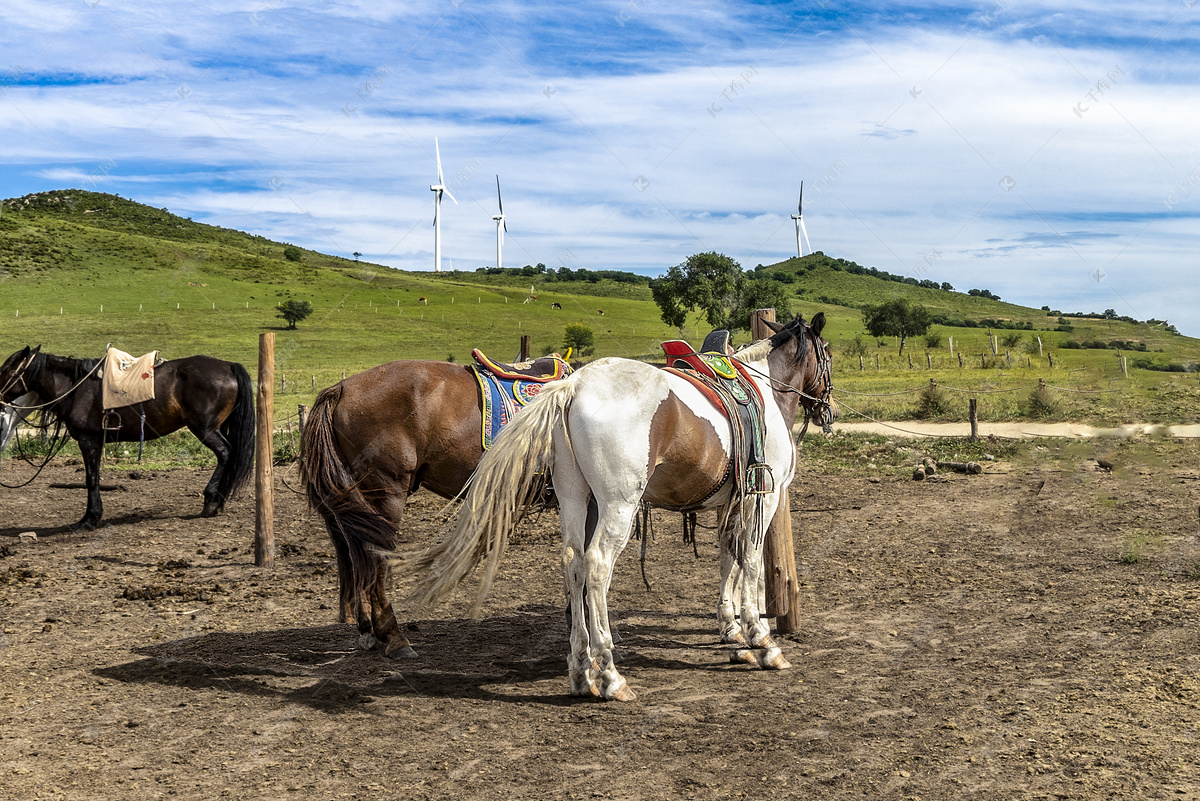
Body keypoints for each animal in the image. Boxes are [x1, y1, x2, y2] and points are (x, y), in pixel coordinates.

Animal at [1, 342, 255, 525]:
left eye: (7, 370)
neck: (76, 387)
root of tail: (228, 366)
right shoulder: (96, 441)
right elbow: (94, 477)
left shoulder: (88, 440)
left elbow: (91, 478)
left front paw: (91, 518)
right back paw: (219, 501)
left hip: (205, 429)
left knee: (225, 454)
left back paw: (211, 500)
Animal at [410, 311, 835, 700]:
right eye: (827, 353)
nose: (829, 409)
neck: (764, 387)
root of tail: (573, 386)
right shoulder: (765, 497)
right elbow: (752, 560)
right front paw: (761, 640)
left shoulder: (729, 502)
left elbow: (728, 561)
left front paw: (732, 634)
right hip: (618, 506)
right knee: (597, 566)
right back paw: (610, 673)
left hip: (575, 498)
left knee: (574, 564)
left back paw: (582, 671)